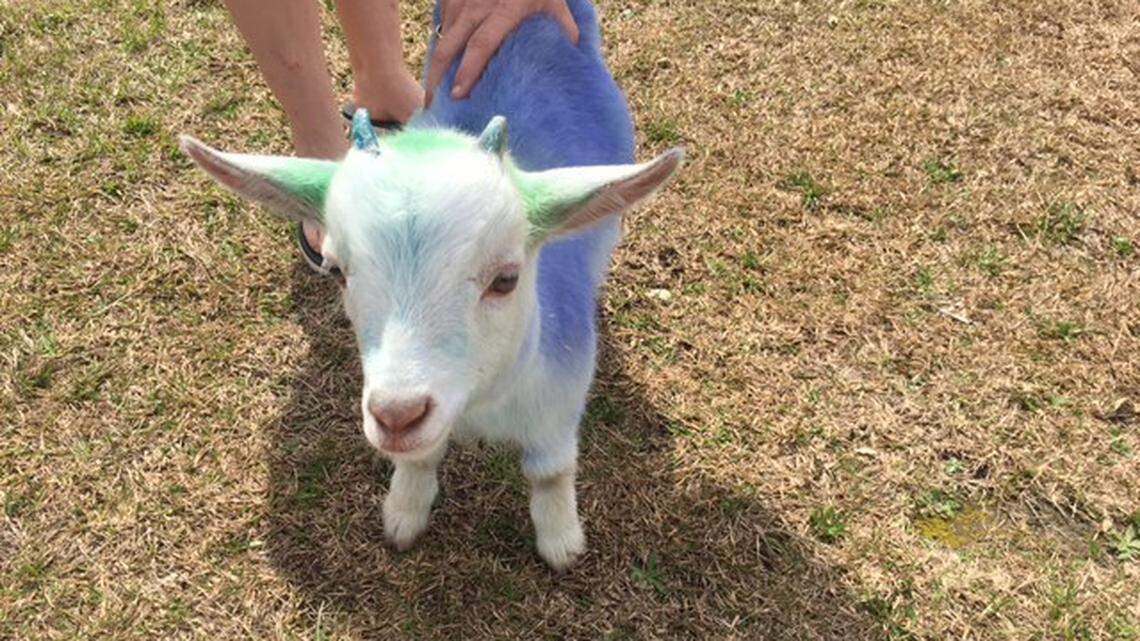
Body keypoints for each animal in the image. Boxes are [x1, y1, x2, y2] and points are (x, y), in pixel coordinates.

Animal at [180, 0, 682, 569]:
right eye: (338, 270)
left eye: (506, 278)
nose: (397, 415)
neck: (480, 402)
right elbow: (421, 461)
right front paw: (404, 513)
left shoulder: (559, 403)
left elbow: (550, 472)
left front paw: (561, 543)